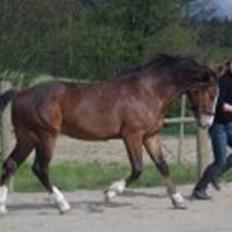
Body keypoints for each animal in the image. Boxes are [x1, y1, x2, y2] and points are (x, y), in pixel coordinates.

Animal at [0, 54, 218, 214]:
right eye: (209, 92)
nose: (207, 122)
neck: (148, 92)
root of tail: (20, 93)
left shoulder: (151, 136)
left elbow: (162, 165)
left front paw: (178, 200)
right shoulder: (132, 135)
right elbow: (137, 169)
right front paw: (109, 193)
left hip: (27, 137)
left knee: (11, 164)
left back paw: (3, 207)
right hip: (46, 136)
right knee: (40, 168)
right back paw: (62, 204)